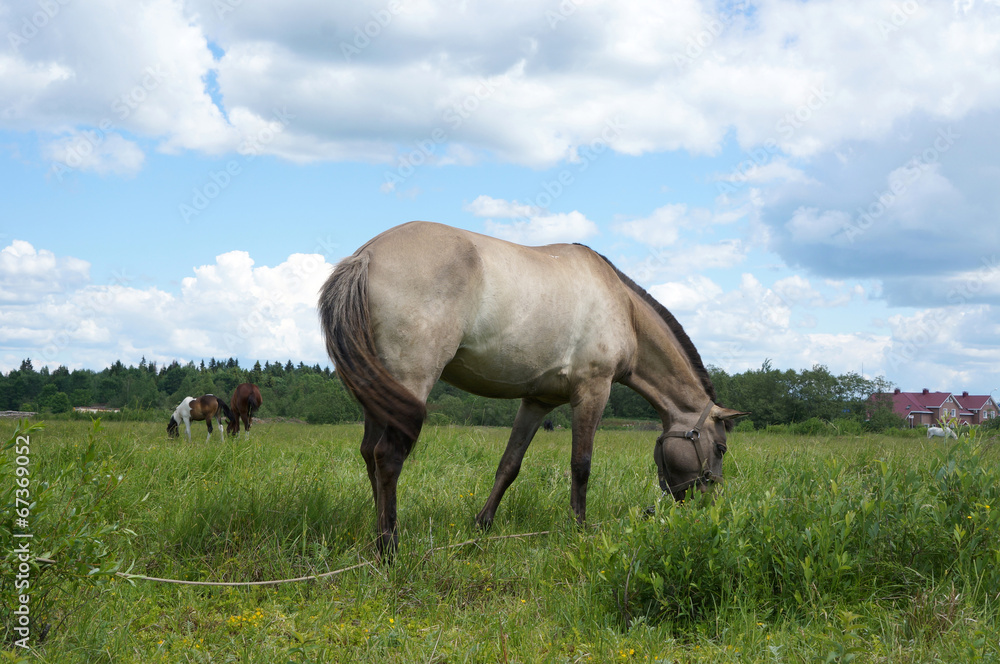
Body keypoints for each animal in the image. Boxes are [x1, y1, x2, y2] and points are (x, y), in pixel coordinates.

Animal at [316, 220, 748, 556]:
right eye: (721, 448)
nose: (707, 507)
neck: (622, 308)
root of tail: (366, 255)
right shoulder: (593, 391)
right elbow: (581, 465)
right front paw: (579, 529)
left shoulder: (537, 401)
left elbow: (509, 465)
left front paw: (482, 525)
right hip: (410, 380)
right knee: (388, 456)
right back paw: (389, 547)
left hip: (378, 389)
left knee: (370, 455)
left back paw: (378, 536)